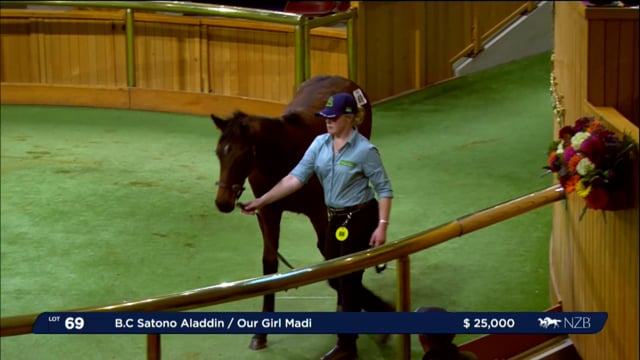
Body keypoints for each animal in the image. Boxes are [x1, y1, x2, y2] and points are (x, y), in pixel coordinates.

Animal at [211, 75, 370, 348]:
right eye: (219, 153)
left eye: (242, 155)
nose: (223, 203)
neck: (282, 157)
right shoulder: (268, 212)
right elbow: (269, 262)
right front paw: (260, 334)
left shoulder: (318, 211)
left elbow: (330, 256)